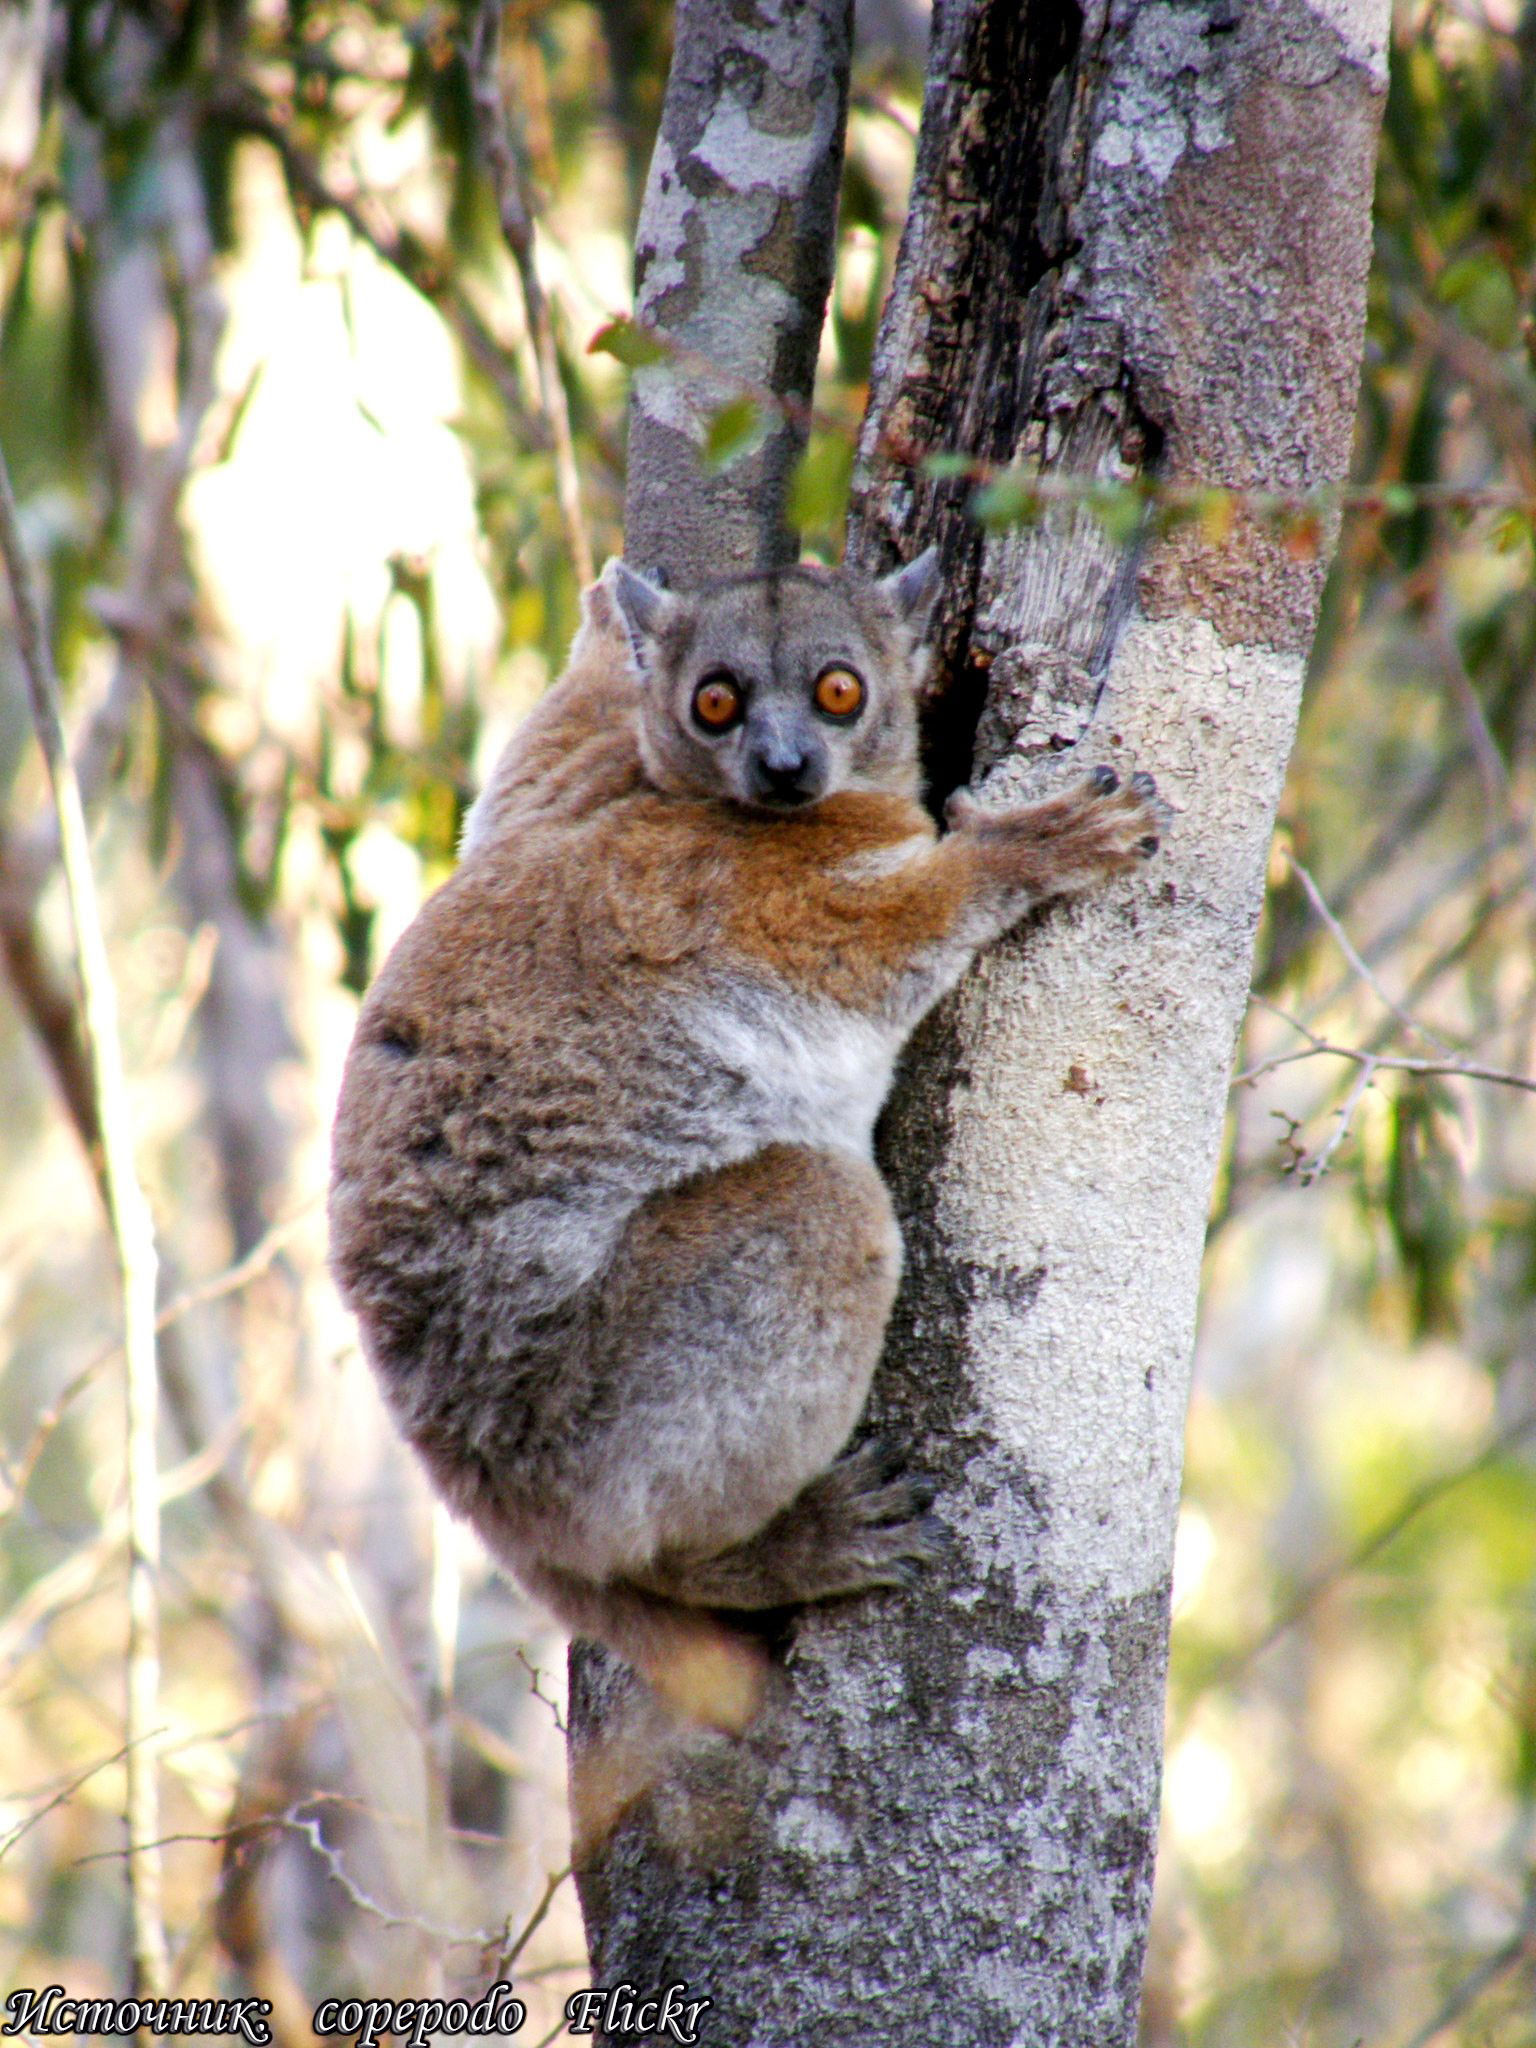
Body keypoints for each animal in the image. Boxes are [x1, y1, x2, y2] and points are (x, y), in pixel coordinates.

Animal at [328, 552, 1165, 1731]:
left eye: (838, 690)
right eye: (716, 703)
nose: (783, 766)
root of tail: (483, 1496)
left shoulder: (561, 781)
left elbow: (552, 746)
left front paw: (611, 606)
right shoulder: (750, 900)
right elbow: (878, 937)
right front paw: (1035, 843)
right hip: (591, 1419)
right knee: (817, 1212)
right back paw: (770, 1551)